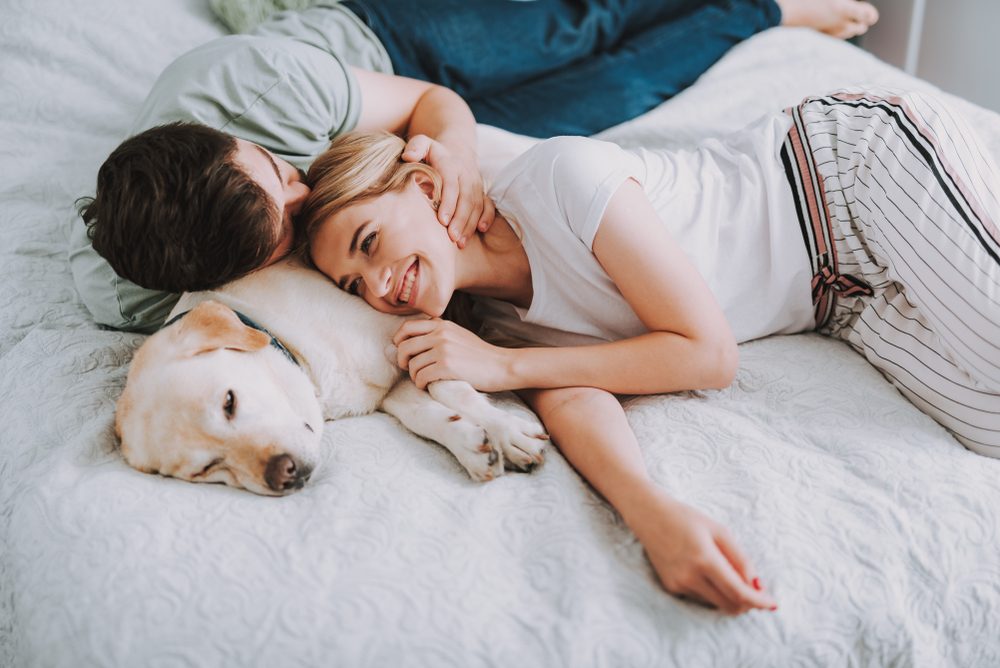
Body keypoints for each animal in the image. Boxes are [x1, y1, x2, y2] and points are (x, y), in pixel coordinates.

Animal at [116, 258, 548, 494]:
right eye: (205, 469)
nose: (283, 474)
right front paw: (472, 445)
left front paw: (509, 433)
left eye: (228, 402)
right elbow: (426, 416)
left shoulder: (410, 333)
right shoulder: (394, 387)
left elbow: (456, 391)